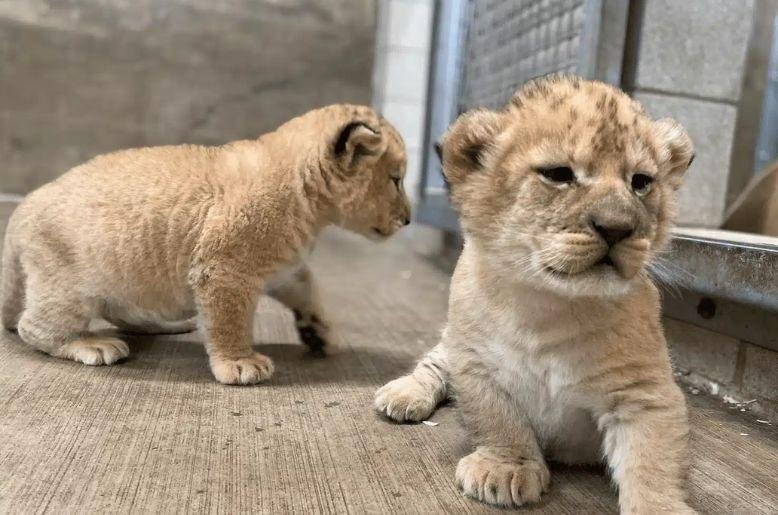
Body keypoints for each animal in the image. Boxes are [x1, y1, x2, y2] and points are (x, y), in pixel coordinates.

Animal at [1, 104, 410, 385]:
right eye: (396, 179)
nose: (408, 218)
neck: (310, 202)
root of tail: (21, 209)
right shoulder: (225, 270)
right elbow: (230, 320)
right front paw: (239, 363)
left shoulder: (285, 268)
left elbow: (309, 290)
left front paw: (320, 332)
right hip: (68, 282)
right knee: (32, 326)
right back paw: (88, 344)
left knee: (121, 311)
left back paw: (163, 325)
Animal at [375, 76, 696, 514]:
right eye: (558, 174)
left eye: (641, 182)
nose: (616, 227)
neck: (551, 305)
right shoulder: (475, 363)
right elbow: (498, 419)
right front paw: (507, 468)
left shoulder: (644, 392)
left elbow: (653, 458)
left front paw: (659, 506)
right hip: (452, 342)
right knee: (433, 362)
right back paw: (404, 393)